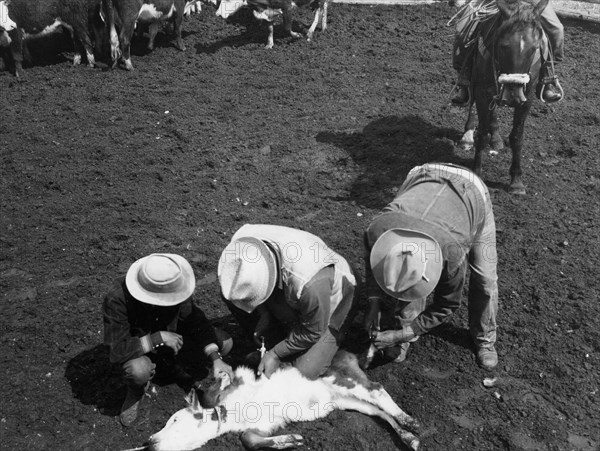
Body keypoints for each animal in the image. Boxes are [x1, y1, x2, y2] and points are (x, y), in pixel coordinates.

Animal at [147, 354, 420, 451]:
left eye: (174, 419)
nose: (149, 441)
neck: (231, 414)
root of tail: (347, 352)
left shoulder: (233, 387)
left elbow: (214, 390)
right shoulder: (266, 423)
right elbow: (248, 439)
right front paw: (289, 440)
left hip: (345, 378)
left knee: (378, 390)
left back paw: (409, 420)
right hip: (345, 400)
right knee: (377, 410)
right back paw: (409, 437)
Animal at [462, 0, 552, 194]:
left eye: (534, 49)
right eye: (504, 46)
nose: (513, 95)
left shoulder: (526, 99)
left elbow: (517, 137)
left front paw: (516, 181)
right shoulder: (482, 92)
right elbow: (482, 135)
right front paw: (476, 172)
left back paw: (496, 138)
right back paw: (468, 134)